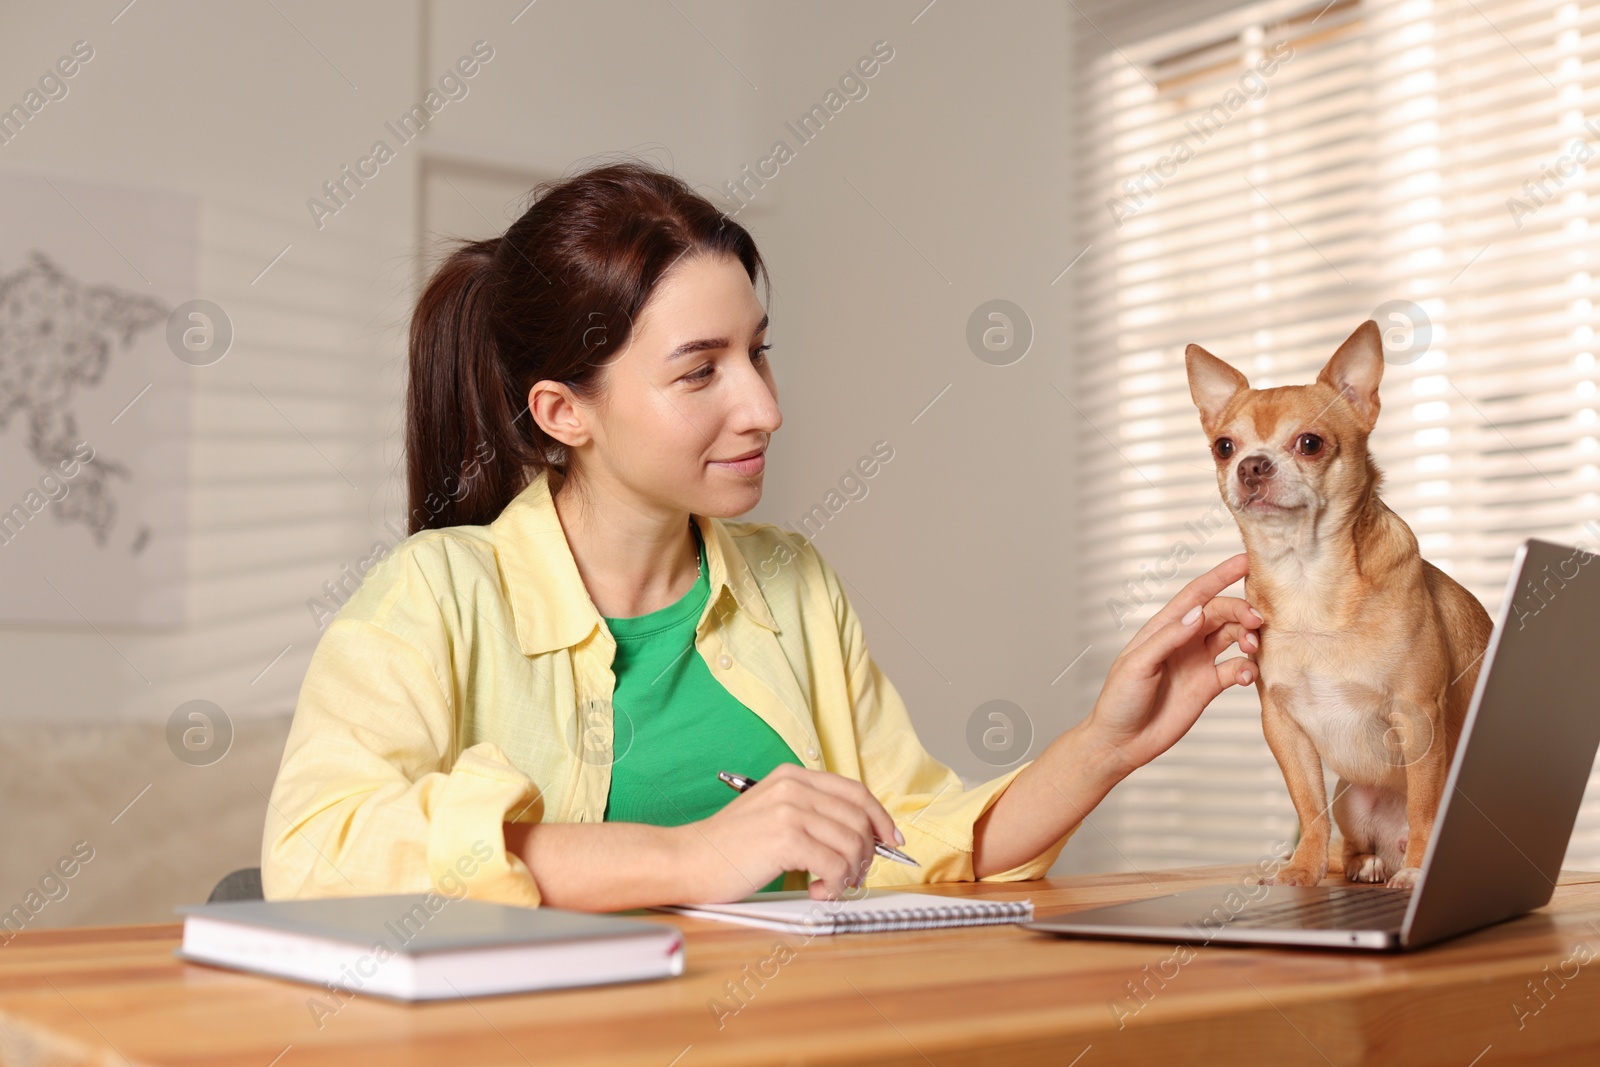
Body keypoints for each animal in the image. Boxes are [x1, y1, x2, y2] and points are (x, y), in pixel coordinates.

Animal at [1184, 321, 1491, 889]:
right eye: (1223, 447)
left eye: (1310, 443)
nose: (1251, 464)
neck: (1307, 577)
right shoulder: (1283, 727)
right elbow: (1309, 807)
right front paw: (1302, 869)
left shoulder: (1417, 716)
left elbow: (1424, 806)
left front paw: (1418, 872)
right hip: (1352, 798)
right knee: (1348, 842)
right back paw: (1365, 863)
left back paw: (1411, 863)